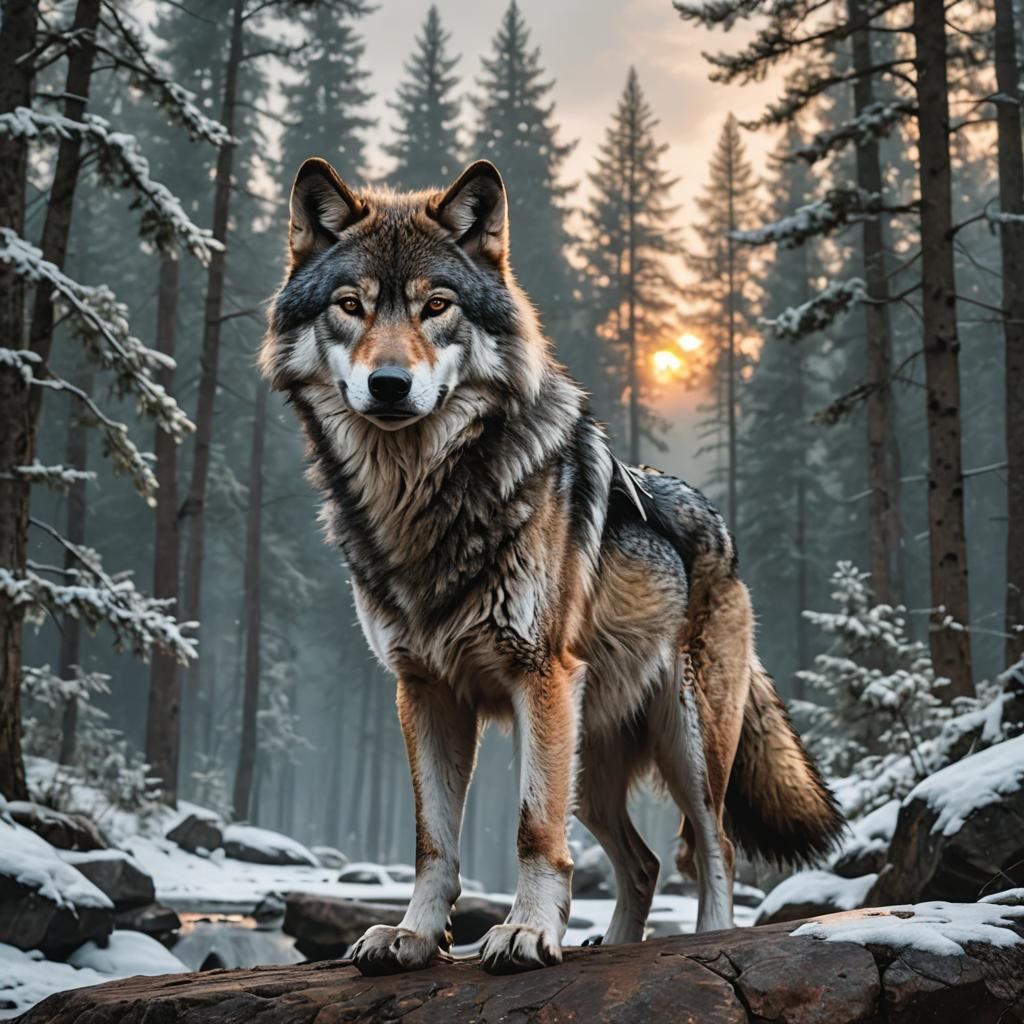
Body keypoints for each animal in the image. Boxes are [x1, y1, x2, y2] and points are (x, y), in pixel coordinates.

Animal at [260, 157, 844, 976]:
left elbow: (533, 829)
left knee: (713, 848)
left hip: (684, 741)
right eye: (352, 306)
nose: (389, 385)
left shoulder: (538, 676)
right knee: (642, 863)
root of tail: (718, 525)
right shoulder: (425, 691)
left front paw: (527, 932)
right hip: (590, 760)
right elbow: (433, 840)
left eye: (436, 306)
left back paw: (706, 940)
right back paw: (614, 947)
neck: (422, 501)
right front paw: (413, 936)